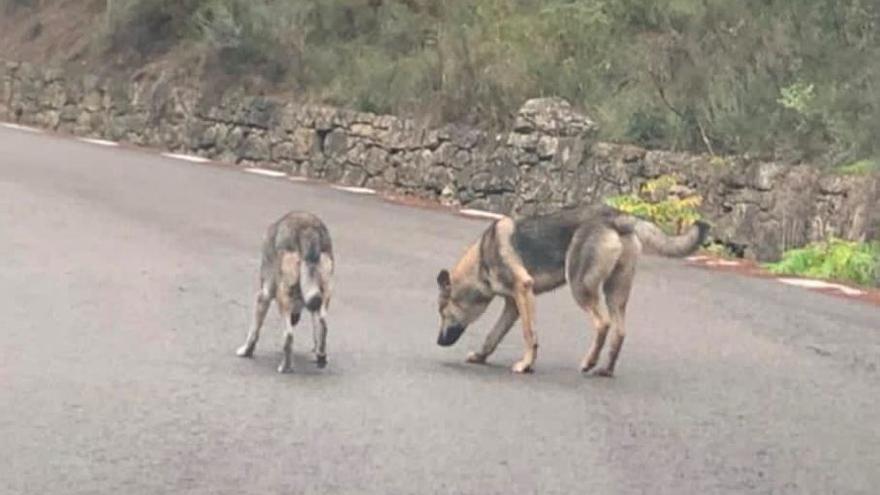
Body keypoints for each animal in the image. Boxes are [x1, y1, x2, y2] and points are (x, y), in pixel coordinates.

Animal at [235, 211, 336, 374]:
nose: (295, 319)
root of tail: (307, 228)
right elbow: (317, 333)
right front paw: (318, 354)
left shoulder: (264, 296)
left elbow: (253, 332)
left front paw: (246, 351)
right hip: (324, 295)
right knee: (323, 325)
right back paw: (321, 357)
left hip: (283, 299)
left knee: (288, 335)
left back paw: (286, 366)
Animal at [436, 204, 712, 376]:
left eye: (443, 313)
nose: (438, 342)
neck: (482, 259)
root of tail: (616, 215)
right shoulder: (514, 305)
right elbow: (492, 336)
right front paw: (481, 356)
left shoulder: (523, 292)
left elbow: (529, 335)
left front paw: (526, 365)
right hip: (615, 294)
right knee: (620, 331)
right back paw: (605, 370)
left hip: (580, 288)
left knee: (602, 324)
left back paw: (589, 362)